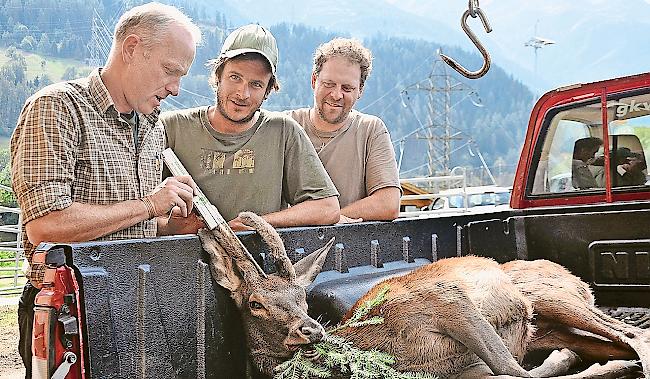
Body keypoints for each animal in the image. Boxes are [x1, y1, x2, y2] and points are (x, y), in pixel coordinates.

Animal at [199, 212, 648, 378]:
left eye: (304, 298)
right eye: (255, 304)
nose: (310, 330)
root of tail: (573, 276)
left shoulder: (444, 299)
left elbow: (514, 369)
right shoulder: (468, 372)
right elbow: (512, 370)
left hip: (552, 298)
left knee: (633, 334)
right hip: (547, 328)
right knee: (607, 342)